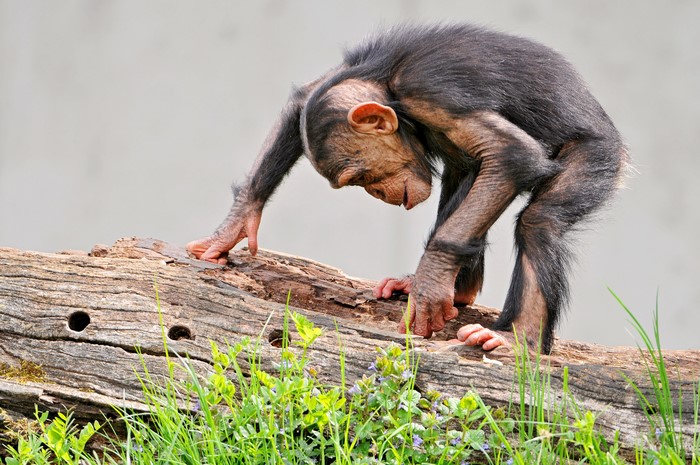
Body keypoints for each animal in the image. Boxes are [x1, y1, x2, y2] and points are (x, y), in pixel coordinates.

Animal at [187, 24, 628, 353]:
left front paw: (430, 283)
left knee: (539, 222)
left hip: (598, 154)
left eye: (359, 177)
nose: (377, 193)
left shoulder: (431, 94)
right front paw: (233, 225)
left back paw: (518, 339)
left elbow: (511, 154)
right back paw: (458, 290)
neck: (391, 88)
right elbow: (303, 98)